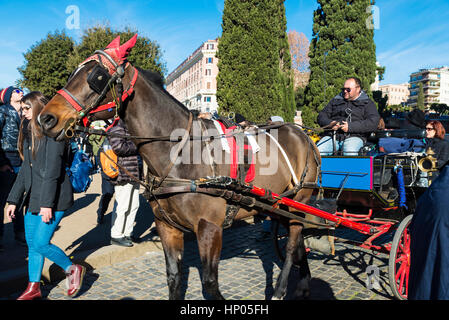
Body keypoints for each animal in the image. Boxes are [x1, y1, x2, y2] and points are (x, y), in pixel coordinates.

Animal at [38, 35, 326, 300]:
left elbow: (210, 284)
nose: (46, 118)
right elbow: (174, 278)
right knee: (297, 242)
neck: (180, 153)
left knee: (291, 244)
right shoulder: (167, 227)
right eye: (73, 73)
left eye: (96, 76)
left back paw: (279, 290)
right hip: (280, 204)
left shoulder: (209, 228)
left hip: (300, 200)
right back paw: (303, 282)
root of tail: (303, 135)